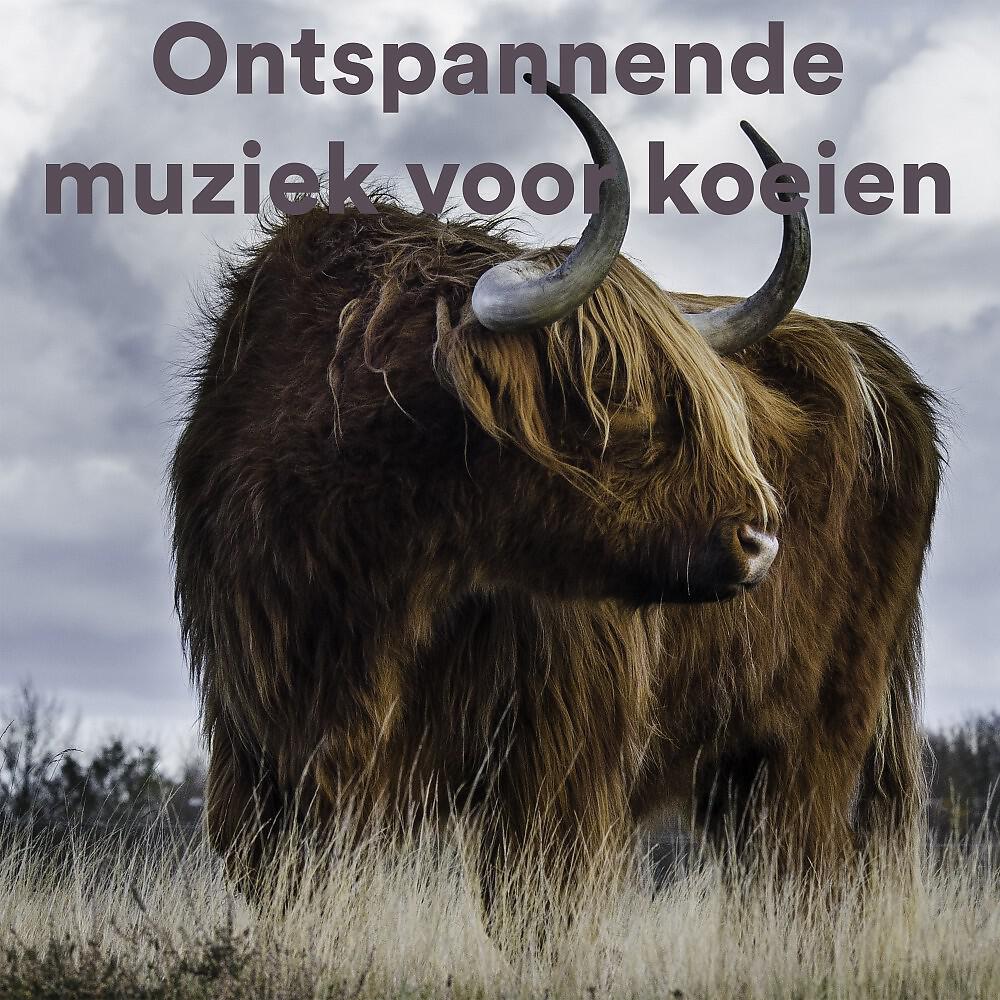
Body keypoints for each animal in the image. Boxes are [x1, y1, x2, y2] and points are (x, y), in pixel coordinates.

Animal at [170, 79, 941, 898]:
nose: (760, 541)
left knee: (809, 872)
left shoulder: (556, 766)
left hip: (815, 740)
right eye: (614, 389)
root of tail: (880, 365)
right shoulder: (262, 757)